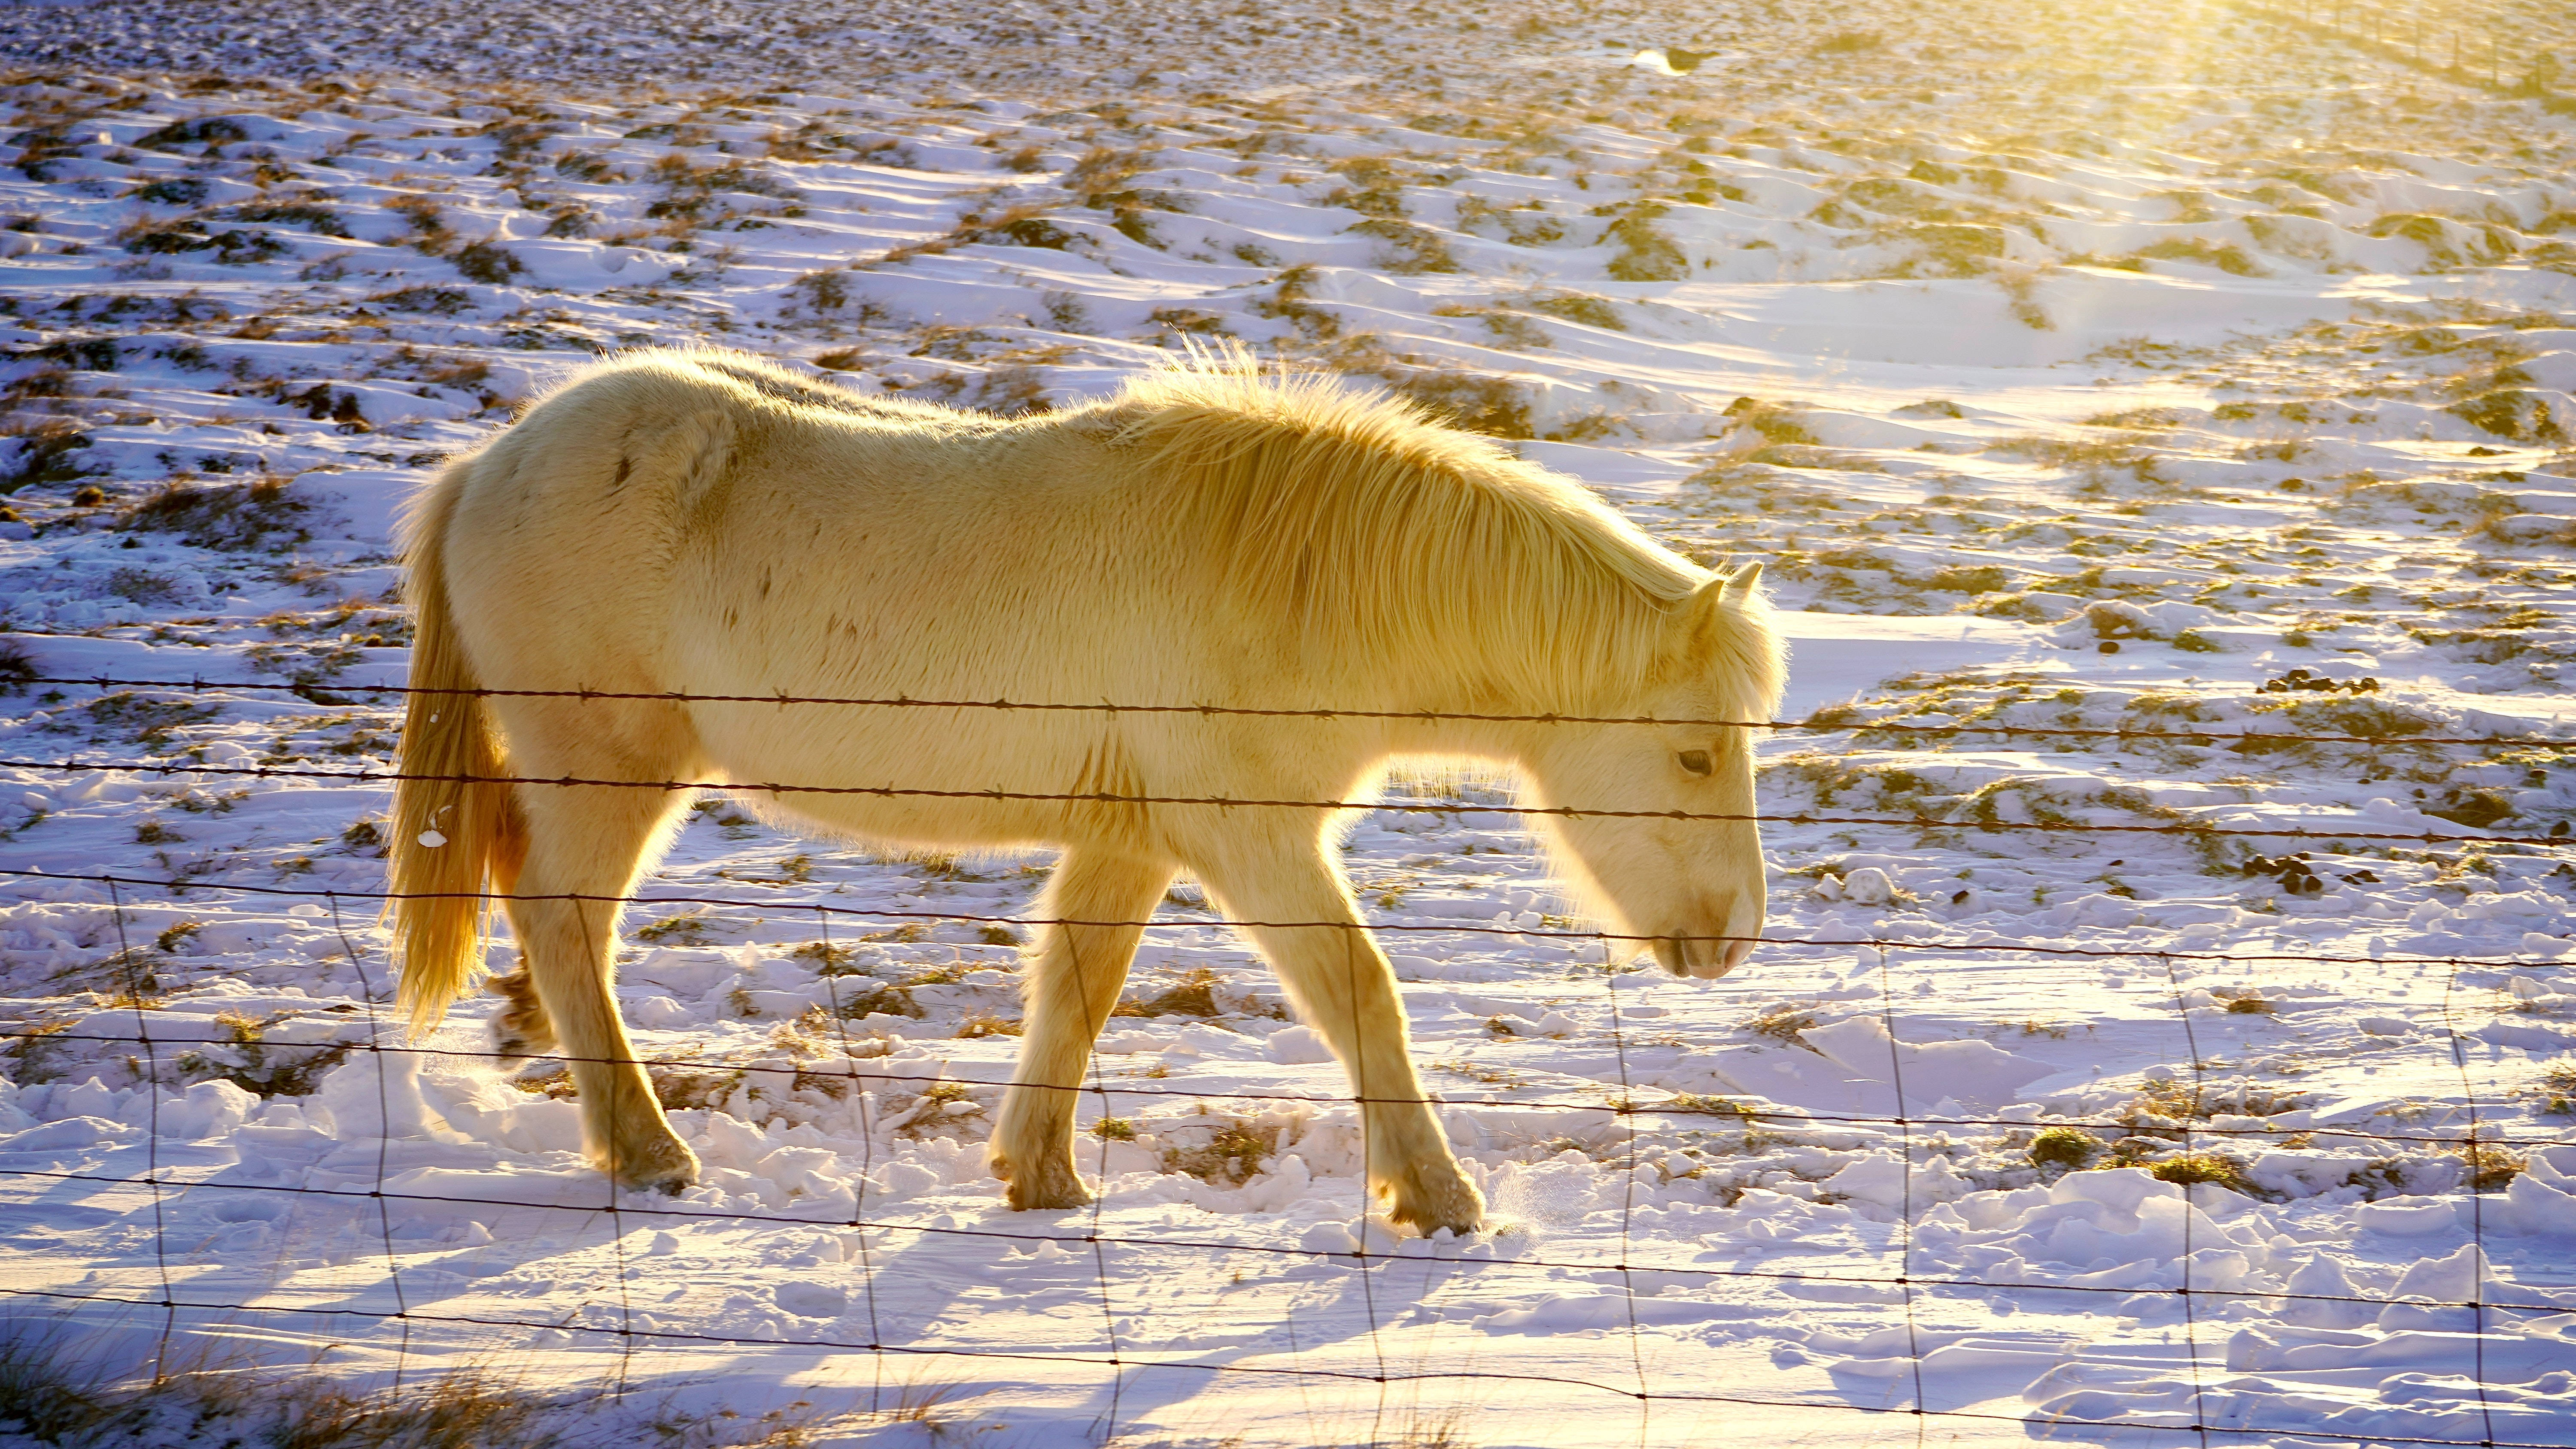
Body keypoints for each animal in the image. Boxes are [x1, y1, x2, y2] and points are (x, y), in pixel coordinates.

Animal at [387, 347, 1784, 1235]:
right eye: (1695, 754)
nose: (1732, 940)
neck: (1289, 583)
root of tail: (489, 463)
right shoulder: (1255, 845)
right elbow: (1359, 996)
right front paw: (1435, 1197)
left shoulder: (1132, 840)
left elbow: (1076, 988)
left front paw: (1041, 1177)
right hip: (611, 768)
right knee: (567, 924)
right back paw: (646, 1147)